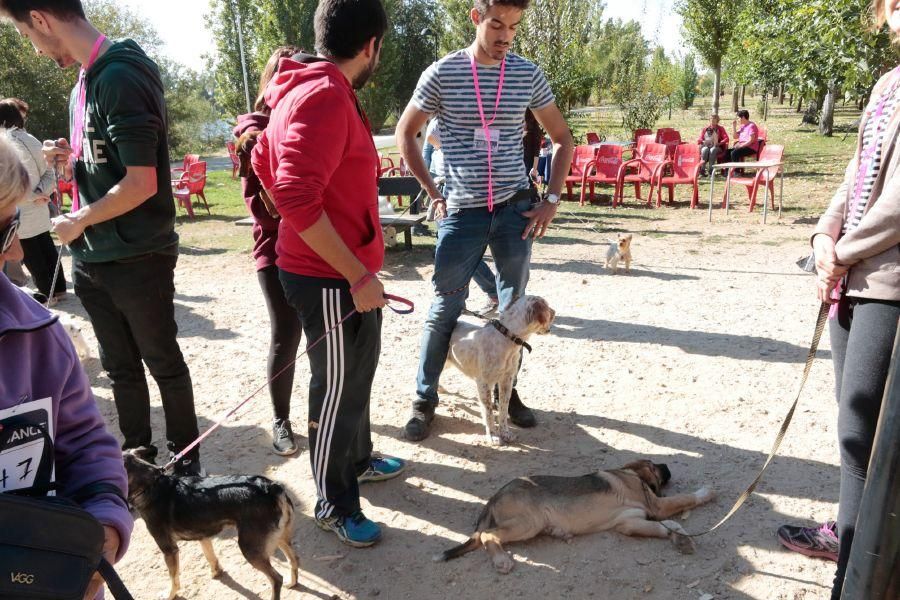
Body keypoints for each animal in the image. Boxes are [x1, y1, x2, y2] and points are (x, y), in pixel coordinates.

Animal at [124, 452, 298, 596]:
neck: (150, 485)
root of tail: (271, 487)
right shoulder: (203, 535)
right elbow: (210, 556)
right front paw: (216, 572)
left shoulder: (169, 550)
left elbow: (174, 579)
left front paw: (169, 594)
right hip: (280, 537)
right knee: (294, 559)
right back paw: (293, 582)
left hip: (250, 548)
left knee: (276, 579)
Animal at [436, 462, 716, 576]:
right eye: (656, 466)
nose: (668, 466)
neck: (630, 473)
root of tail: (494, 497)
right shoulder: (656, 505)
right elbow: (684, 499)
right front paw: (706, 492)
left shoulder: (629, 523)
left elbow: (669, 526)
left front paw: (681, 539)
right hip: (528, 522)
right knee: (488, 534)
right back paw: (501, 560)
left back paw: (558, 532)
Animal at [444, 296, 552, 446]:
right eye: (547, 307)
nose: (554, 312)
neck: (508, 338)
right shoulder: (483, 383)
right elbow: (488, 412)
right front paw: (493, 436)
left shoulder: (507, 380)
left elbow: (503, 409)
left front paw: (505, 433)